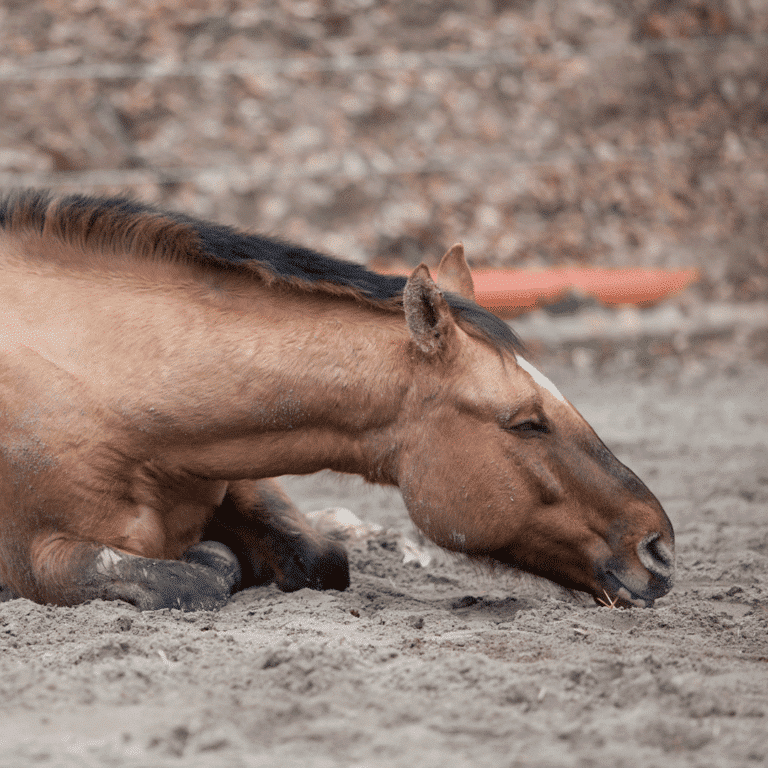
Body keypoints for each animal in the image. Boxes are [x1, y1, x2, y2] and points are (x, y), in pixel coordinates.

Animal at [0, 192, 672, 612]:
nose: (658, 548)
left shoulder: (240, 474)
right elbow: (189, 579)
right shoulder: (39, 559)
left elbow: (321, 559)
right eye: (527, 423)